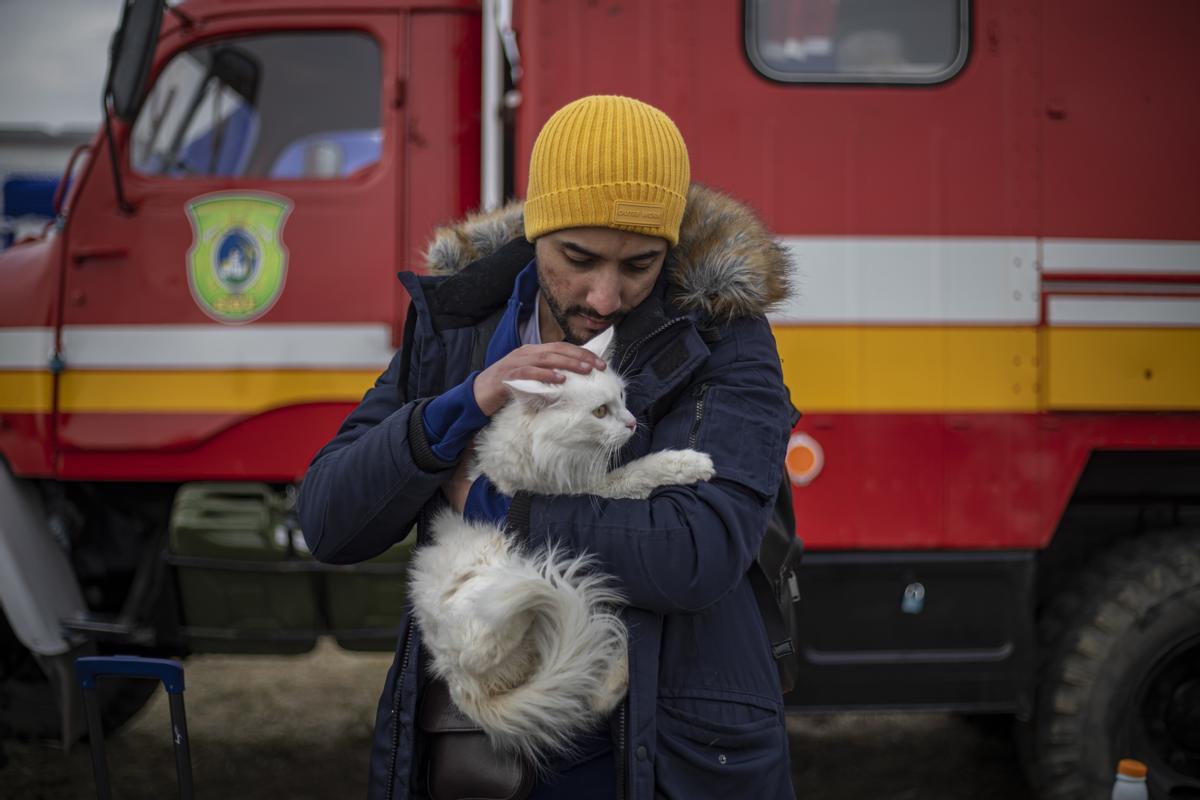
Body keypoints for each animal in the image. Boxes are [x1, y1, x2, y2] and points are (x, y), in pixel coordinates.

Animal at [408, 326, 715, 767]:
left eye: (621, 398)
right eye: (600, 412)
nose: (632, 422)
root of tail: (461, 685)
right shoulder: (590, 490)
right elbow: (639, 472)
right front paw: (691, 462)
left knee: (589, 691)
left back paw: (619, 666)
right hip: (496, 586)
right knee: (507, 632)